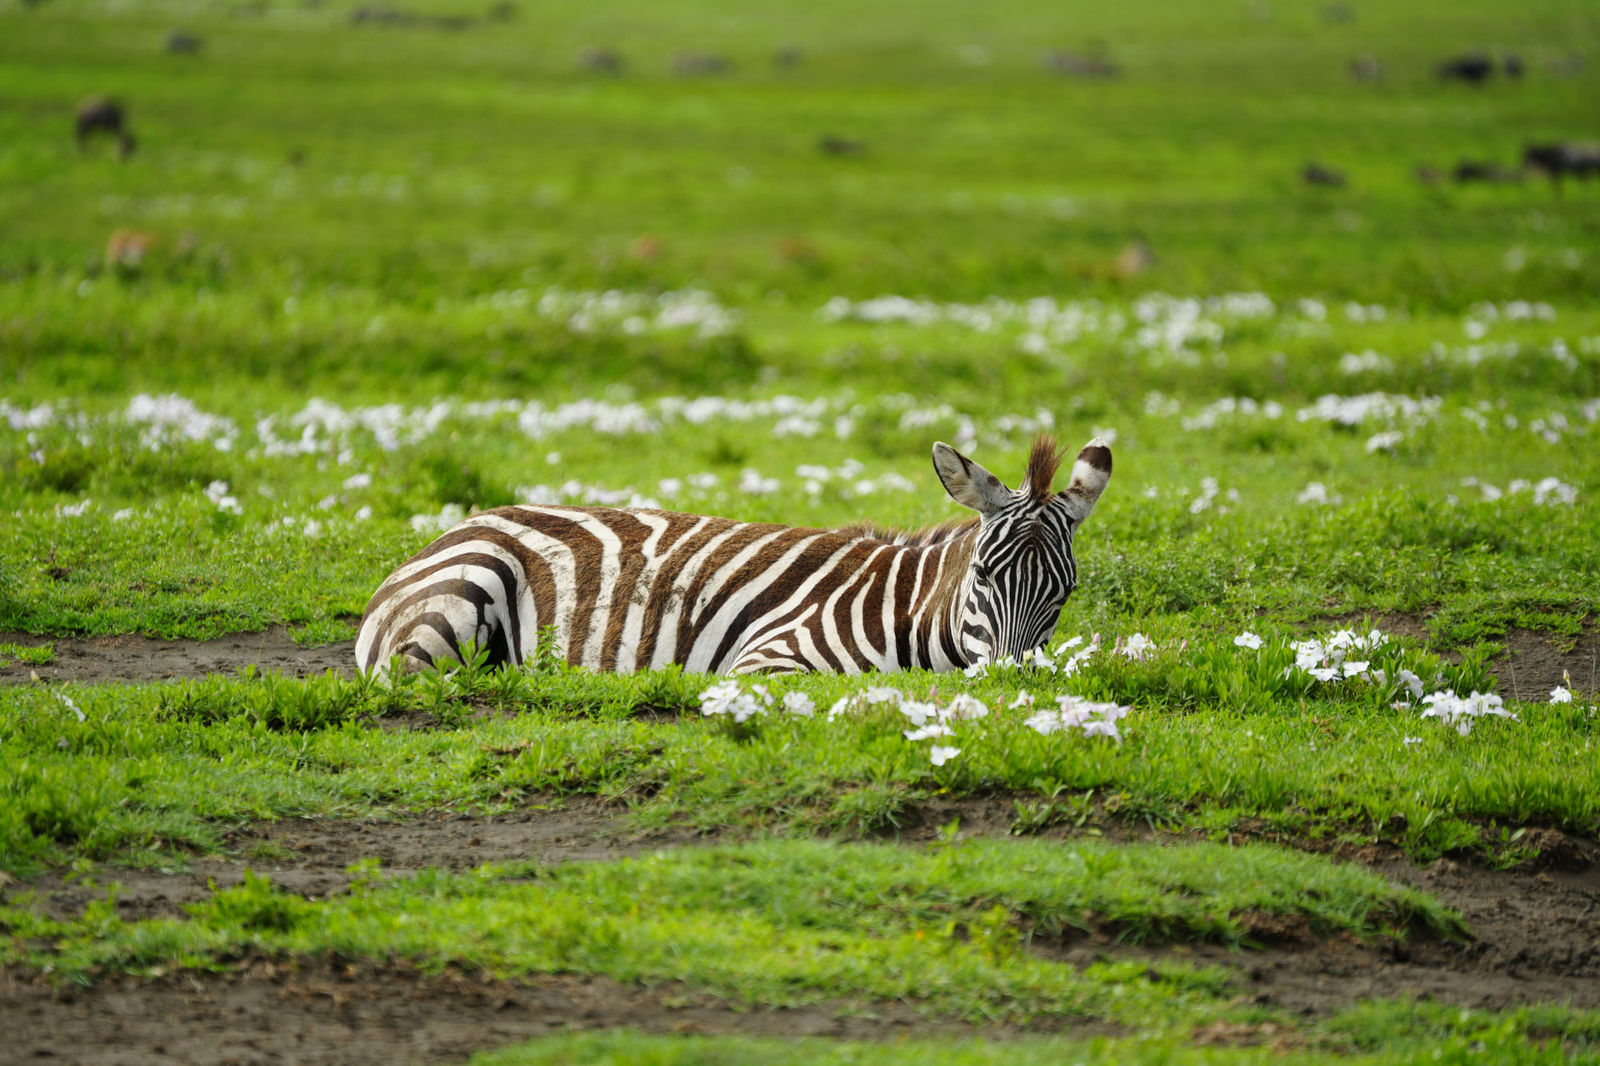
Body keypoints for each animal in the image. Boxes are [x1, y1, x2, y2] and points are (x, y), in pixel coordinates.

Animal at [355, 433, 1111, 676]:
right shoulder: (769, 659)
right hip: (455, 603)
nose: (1009, 685)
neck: (904, 611)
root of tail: (466, 521)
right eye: (983, 575)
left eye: (1063, 594)